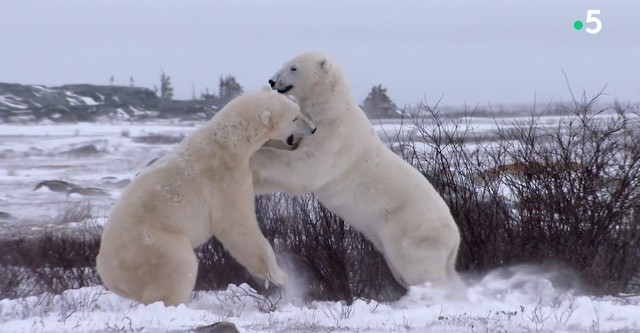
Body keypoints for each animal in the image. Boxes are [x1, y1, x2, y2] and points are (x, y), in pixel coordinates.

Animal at [96, 89, 316, 306]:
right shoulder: (223, 180)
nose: (313, 128)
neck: (228, 141)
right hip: (153, 244)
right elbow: (237, 225)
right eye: (295, 117)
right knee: (181, 267)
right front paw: (279, 276)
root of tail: (106, 270)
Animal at [251, 50, 464, 290]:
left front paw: (255, 159)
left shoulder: (335, 136)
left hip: (413, 233)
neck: (332, 108)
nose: (272, 81)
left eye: (293, 68)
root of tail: (455, 239)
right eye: (285, 63)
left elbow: (305, 169)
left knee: (423, 270)